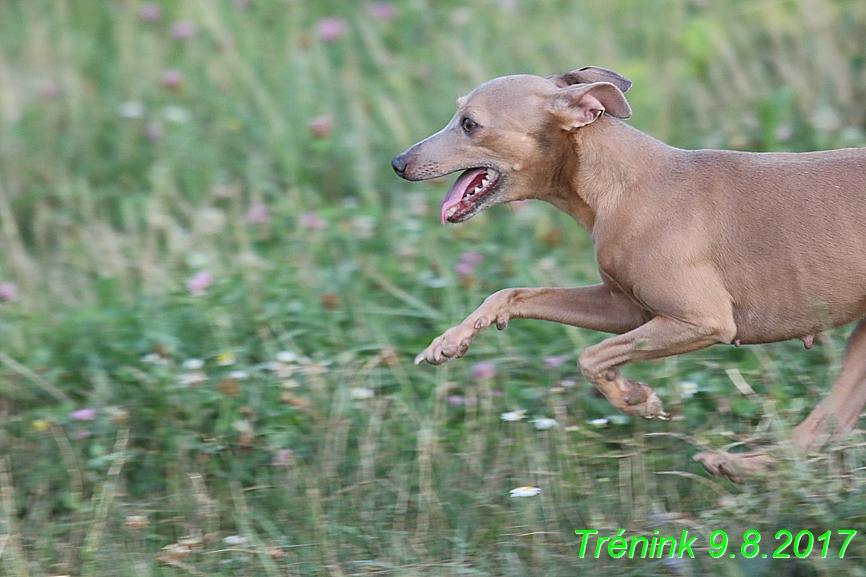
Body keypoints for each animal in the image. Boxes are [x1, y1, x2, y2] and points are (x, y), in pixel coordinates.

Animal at [390, 65, 864, 480]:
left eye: (469, 124)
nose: (397, 163)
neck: (627, 185)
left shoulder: (702, 321)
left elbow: (589, 357)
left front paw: (634, 397)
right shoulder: (627, 308)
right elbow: (511, 294)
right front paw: (450, 341)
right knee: (826, 424)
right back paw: (739, 465)